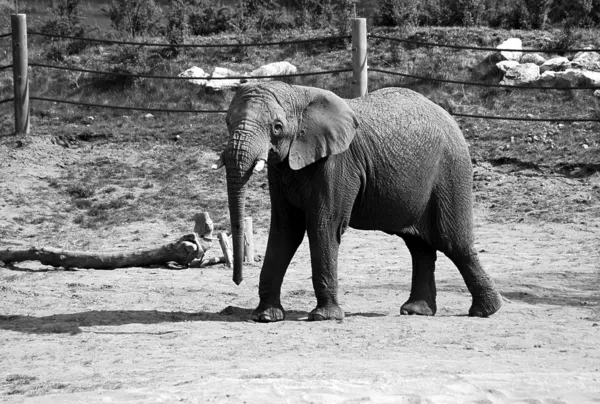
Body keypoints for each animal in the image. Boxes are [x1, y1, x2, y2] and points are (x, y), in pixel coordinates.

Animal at [220, 81, 502, 322]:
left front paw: (324, 317)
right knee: (419, 246)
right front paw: (265, 317)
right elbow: (285, 230)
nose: (237, 281)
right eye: (227, 122)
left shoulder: (338, 162)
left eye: (277, 127)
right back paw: (416, 311)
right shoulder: (280, 169)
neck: (298, 93)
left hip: (451, 170)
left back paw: (485, 311)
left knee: (453, 241)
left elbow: (323, 225)